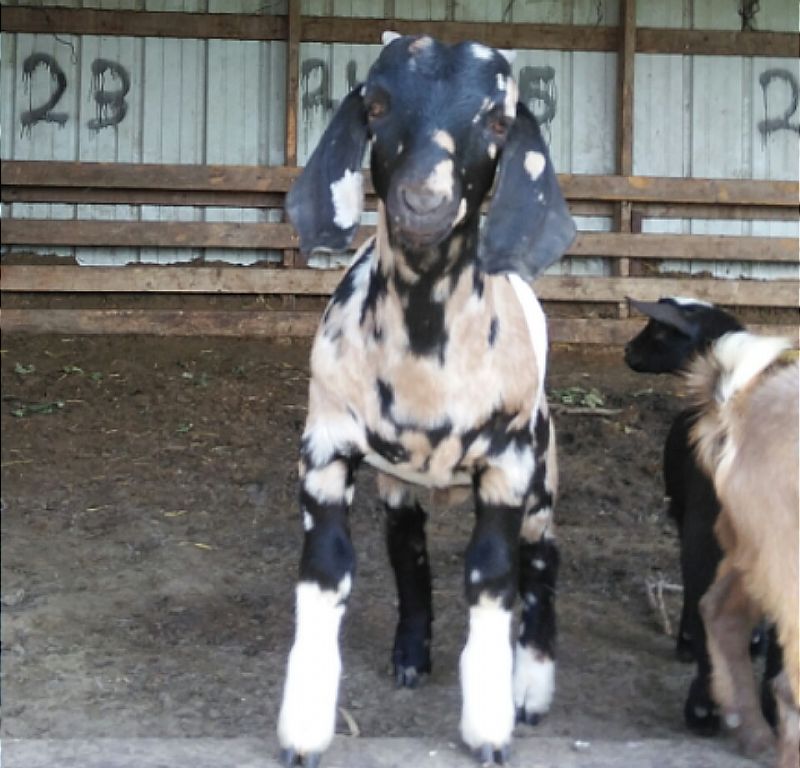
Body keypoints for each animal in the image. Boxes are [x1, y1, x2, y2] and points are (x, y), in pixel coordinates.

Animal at [276, 33, 576, 764]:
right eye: (378, 105)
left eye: (499, 121)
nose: (423, 202)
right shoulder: (323, 450)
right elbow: (326, 572)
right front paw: (304, 730)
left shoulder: (507, 468)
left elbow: (492, 578)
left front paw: (491, 727)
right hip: (400, 485)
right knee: (407, 552)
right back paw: (412, 654)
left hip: (543, 470)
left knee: (541, 562)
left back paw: (531, 690)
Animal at [620, 296, 780, 736]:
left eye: (658, 331)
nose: (627, 351)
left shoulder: (684, 513)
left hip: (705, 526)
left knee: (706, 594)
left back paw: (705, 707)